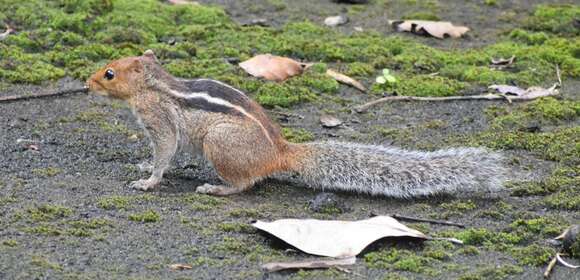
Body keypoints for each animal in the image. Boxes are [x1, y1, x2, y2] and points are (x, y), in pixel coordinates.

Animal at [86, 50, 508, 198]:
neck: (154, 85)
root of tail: (279, 153)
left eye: (109, 73)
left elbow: (165, 151)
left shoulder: (159, 121)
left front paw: (149, 180)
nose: (86, 83)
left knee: (246, 184)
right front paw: (143, 166)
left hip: (219, 144)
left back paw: (216, 188)